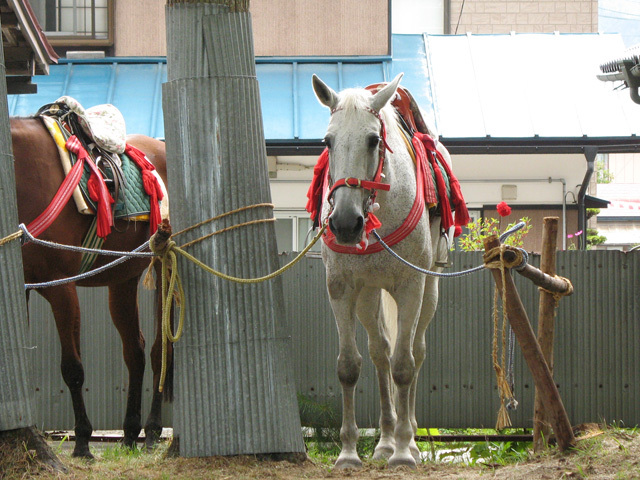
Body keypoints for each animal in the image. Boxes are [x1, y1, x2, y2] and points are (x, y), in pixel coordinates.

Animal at [11, 117, 171, 458]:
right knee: (134, 351)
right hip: (122, 276)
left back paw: (151, 430)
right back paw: (129, 432)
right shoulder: (23, 287)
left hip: (165, 264)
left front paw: (83, 440)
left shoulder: (61, 287)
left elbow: (72, 368)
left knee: (159, 350)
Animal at [310, 74, 450, 468]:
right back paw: (385, 439)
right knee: (380, 352)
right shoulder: (340, 287)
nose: (345, 223)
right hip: (369, 292)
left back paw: (408, 439)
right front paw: (348, 452)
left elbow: (404, 364)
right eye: (327, 141)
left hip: (429, 288)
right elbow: (349, 366)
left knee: (415, 351)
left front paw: (404, 451)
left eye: (374, 140)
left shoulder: (410, 285)